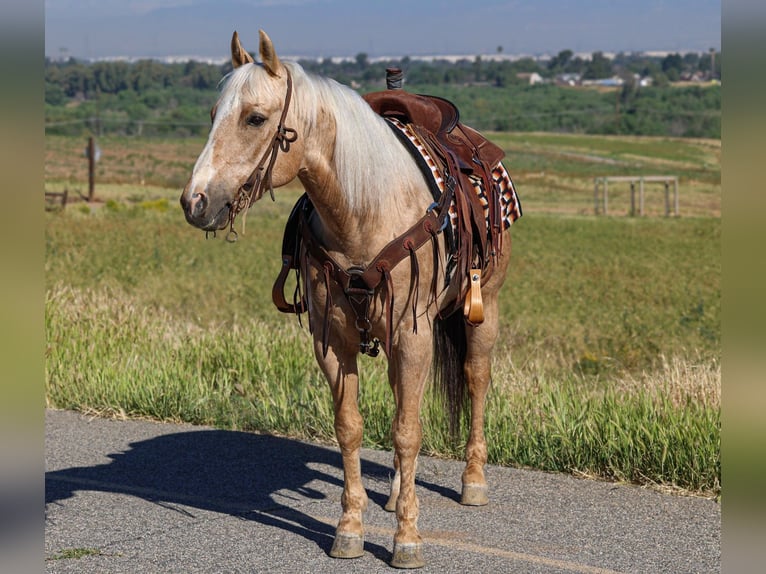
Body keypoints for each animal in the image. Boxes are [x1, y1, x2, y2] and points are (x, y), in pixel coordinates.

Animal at [180, 30, 520, 569]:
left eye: (255, 117)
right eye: (214, 113)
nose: (195, 202)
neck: (363, 209)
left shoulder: (412, 333)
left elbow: (407, 430)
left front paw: (406, 539)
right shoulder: (333, 338)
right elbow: (352, 428)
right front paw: (350, 529)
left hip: (483, 310)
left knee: (475, 381)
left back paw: (473, 480)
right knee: (405, 399)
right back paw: (396, 491)